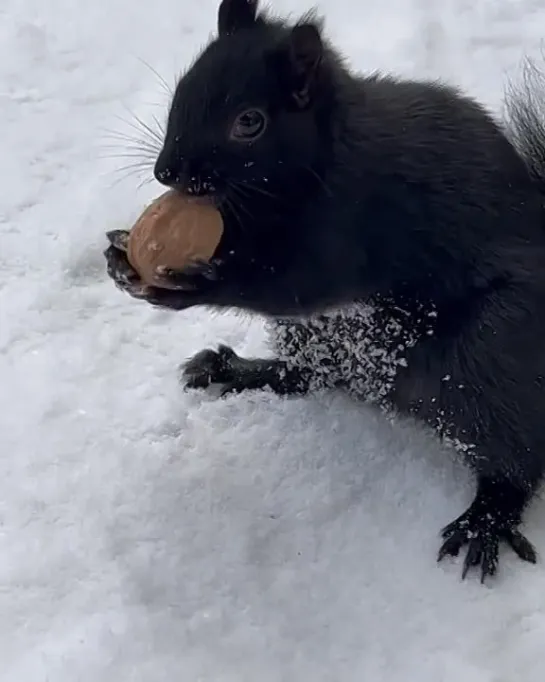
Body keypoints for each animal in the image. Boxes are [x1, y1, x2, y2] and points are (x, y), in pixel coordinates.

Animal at [103, 0, 545, 580]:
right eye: (183, 87)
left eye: (250, 121)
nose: (166, 171)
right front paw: (121, 255)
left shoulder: (352, 220)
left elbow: (295, 283)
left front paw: (196, 282)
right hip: (318, 338)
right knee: (311, 376)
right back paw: (237, 370)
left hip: (490, 350)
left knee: (515, 455)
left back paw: (486, 518)